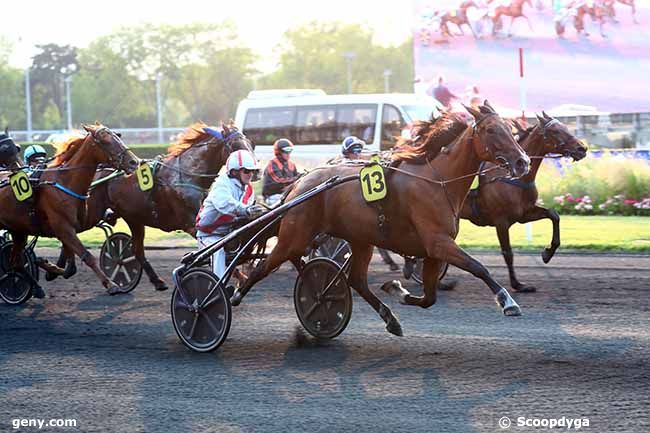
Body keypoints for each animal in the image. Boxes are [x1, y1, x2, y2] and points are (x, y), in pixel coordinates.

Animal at [0, 123, 138, 296]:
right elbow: (86, 256)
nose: (134, 162)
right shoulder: (63, 227)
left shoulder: (69, 228)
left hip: (18, 230)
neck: (65, 182)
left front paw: (48, 268)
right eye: (106, 141)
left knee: (16, 262)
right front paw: (111, 284)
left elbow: (70, 268)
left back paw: (36, 288)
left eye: (118, 137)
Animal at [51, 120, 253, 290]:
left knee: (136, 250)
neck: (186, 175)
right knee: (67, 230)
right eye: (235, 146)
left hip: (133, 218)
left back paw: (156, 281)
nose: (256, 170)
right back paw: (61, 267)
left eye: (249, 143)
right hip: (92, 212)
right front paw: (240, 277)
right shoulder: (191, 224)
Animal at [230, 102, 528, 334]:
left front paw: (398, 289)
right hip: (295, 236)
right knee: (263, 266)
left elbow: (429, 297)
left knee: (356, 281)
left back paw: (387, 317)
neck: (437, 180)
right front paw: (508, 302)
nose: (522, 161)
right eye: (491, 130)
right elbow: (478, 267)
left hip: (360, 240)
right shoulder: (438, 243)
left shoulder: (433, 250)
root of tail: (299, 185)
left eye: (509, 128)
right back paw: (234, 295)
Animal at [450, 112, 588, 290]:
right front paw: (517, 284)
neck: (513, 179)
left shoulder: (523, 213)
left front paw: (547, 253)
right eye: (555, 131)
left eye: (565, 127)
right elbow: (508, 252)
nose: (582, 148)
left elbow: (553, 215)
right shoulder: (501, 221)